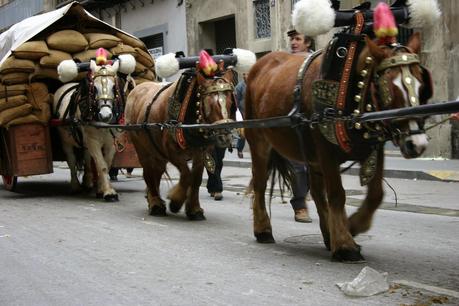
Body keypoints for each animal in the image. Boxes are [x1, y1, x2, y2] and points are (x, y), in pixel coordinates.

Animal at [54, 50, 137, 201]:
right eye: (95, 88)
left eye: (114, 87)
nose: (105, 115)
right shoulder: (93, 141)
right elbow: (102, 165)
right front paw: (108, 192)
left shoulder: (111, 143)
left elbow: (106, 164)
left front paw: (101, 189)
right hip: (65, 140)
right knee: (71, 160)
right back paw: (75, 186)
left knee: (87, 157)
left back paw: (87, 182)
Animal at [124, 49, 255, 219]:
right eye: (209, 103)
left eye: (230, 101)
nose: (225, 136)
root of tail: (136, 90)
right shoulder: (171, 151)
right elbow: (186, 175)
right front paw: (175, 201)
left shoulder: (201, 151)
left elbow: (196, 178)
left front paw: (194, 209)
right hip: (142, 148)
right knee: (148, 172)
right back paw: (156, 204)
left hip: (156, 151)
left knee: (156, 172)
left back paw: (153, 199)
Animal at [244, 13, 434, 260]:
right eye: (390, 89)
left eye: (421, 85)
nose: (416, 144)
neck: (350, 85)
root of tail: (259, 65)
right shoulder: (325, 151)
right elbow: (337, 194)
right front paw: (345, 244)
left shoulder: (373, 149)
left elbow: (376, 194)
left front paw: (352, 226)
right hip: (259, 141)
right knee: (259, 183)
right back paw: (263, 230)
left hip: (309, 154)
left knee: (316, 191)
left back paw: (327, 234)